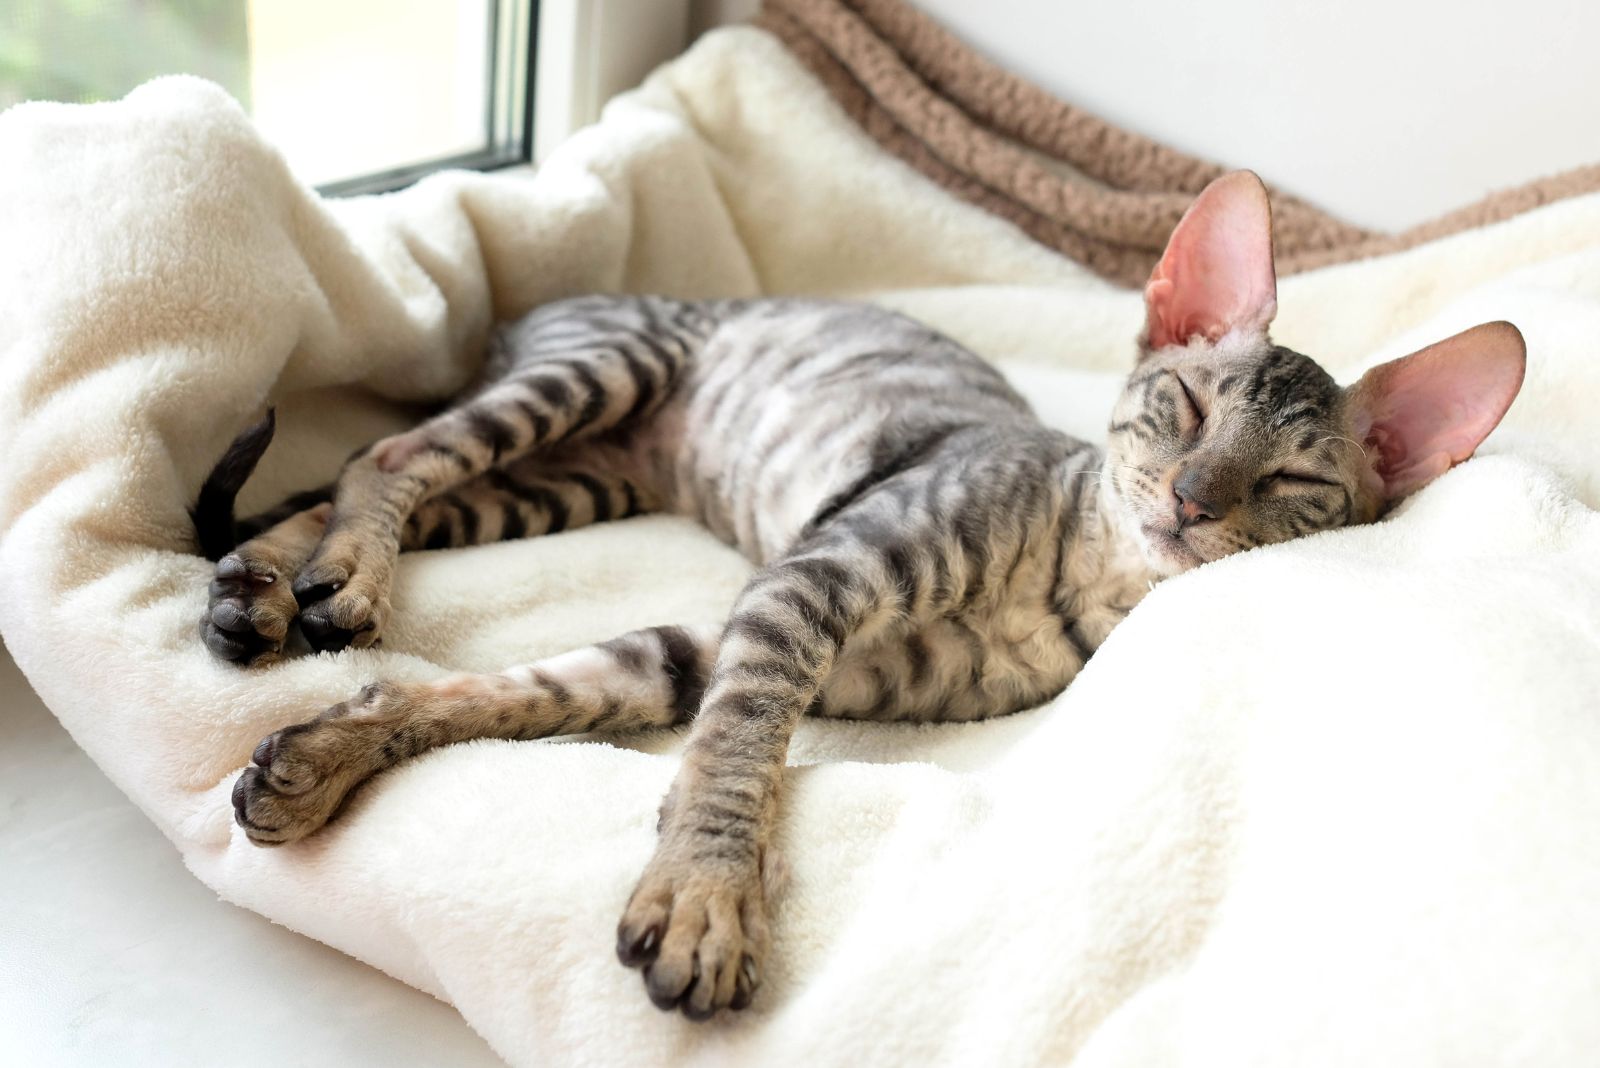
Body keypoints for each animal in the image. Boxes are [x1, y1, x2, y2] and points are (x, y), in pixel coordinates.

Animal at [196, 173, 1523, 1016]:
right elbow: (737, 751)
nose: (1195, 499)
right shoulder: (805, 587)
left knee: (350, 483)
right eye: (1188, 406)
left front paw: (324, 756)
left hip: (558, 484)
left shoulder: (729, 639)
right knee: (391, 453)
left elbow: (524, 692)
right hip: (599, 374)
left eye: (1293, 479)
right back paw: (332, 583)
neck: (1078, 575)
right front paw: (707, 897)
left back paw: (269, 587)